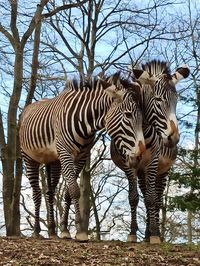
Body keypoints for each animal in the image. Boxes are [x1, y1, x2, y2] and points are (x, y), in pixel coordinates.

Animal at [19, 74, 145, 240]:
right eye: (128, 115)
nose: (140, 156)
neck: (85, 122)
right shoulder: (65, 153)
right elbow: (74, 190)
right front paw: (79, 230)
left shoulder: (82, 157)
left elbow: (67, 192)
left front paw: (65, 229)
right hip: (29, 158)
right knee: (36, 193)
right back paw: (36, 230)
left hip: (53, 161)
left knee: (50, 193)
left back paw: (52, 230)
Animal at [111, 59, 191, 243]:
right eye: (158, 99)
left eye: (176, 100)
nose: (174, 138)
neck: (143, 129)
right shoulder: (129, 162)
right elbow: (134, 197)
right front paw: (133, 233)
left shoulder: (154, 162)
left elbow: (152, 199)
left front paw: (154, 233)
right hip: (142, 171)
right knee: (146, 193)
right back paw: (146, 233)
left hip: (163, 170)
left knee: (158, 197)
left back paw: (153, 234)